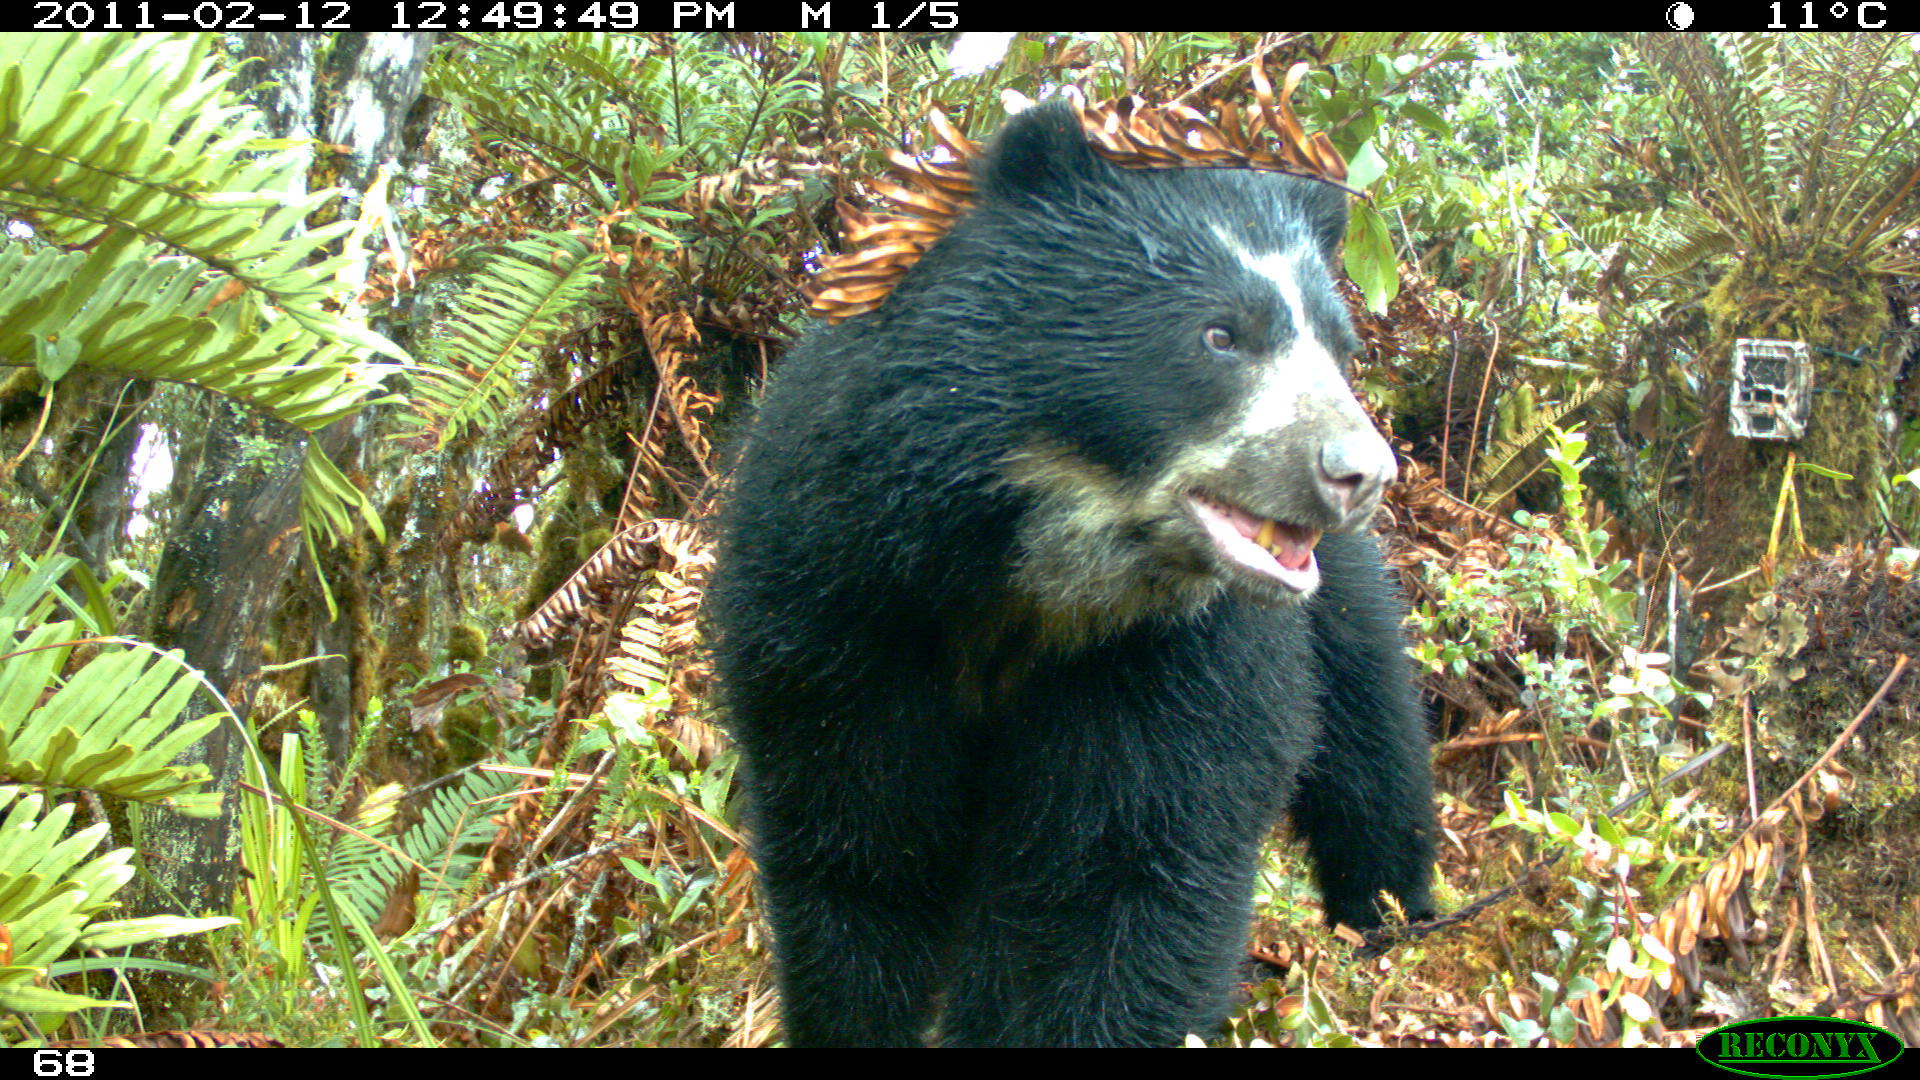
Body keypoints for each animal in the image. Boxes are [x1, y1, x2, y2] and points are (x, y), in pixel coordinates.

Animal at [714, 100, 1436, 1045]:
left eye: (1339, 350)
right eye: (1220, 334)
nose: (1360, 472)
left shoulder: (1174, 654)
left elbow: (1127, 870)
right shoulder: (835, 597)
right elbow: (857, 842)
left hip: (1336, 600)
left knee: (1372, 738)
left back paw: (1391, 919)